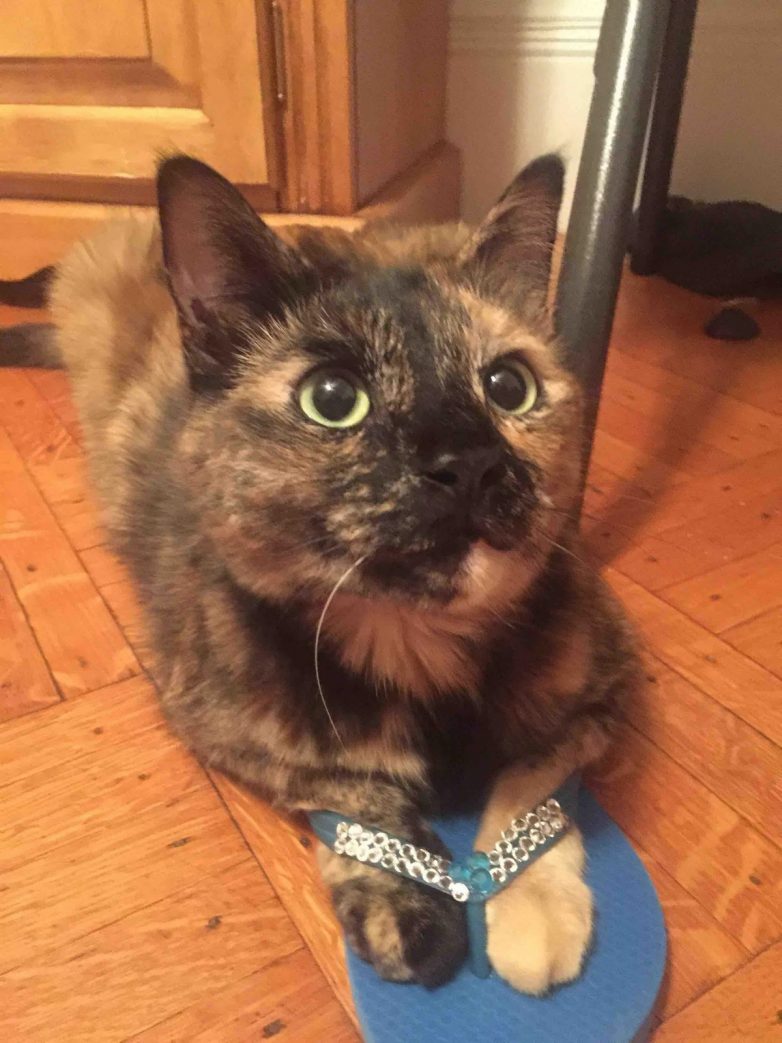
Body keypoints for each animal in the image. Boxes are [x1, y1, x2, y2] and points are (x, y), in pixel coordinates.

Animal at [0, 154, 640, 992]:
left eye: (510, 386)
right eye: (332, 400)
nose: (469, 461)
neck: (416, 647)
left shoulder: (610, 684)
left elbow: (532, 775)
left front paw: (533, 907)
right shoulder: (209, 718)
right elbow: (351, 783)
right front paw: (403, 898)